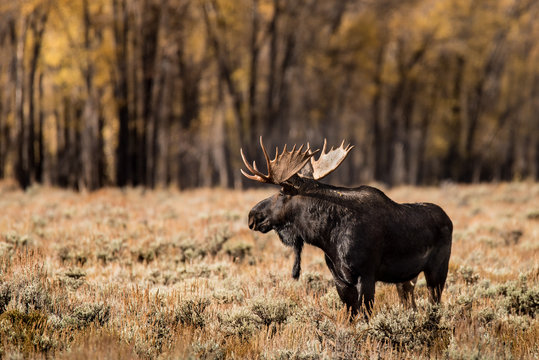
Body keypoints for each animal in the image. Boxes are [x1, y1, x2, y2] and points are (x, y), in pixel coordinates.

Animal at [243, 138, 454, 318]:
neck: (326, 236)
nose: (252, 215)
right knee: (411, 305)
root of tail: (449, 219)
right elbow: (351, 317)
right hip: (406, 279)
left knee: (434, 306)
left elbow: (366, 316)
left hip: (437, 270)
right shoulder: (340, 280)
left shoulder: (366, 275)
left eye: (281, 192)